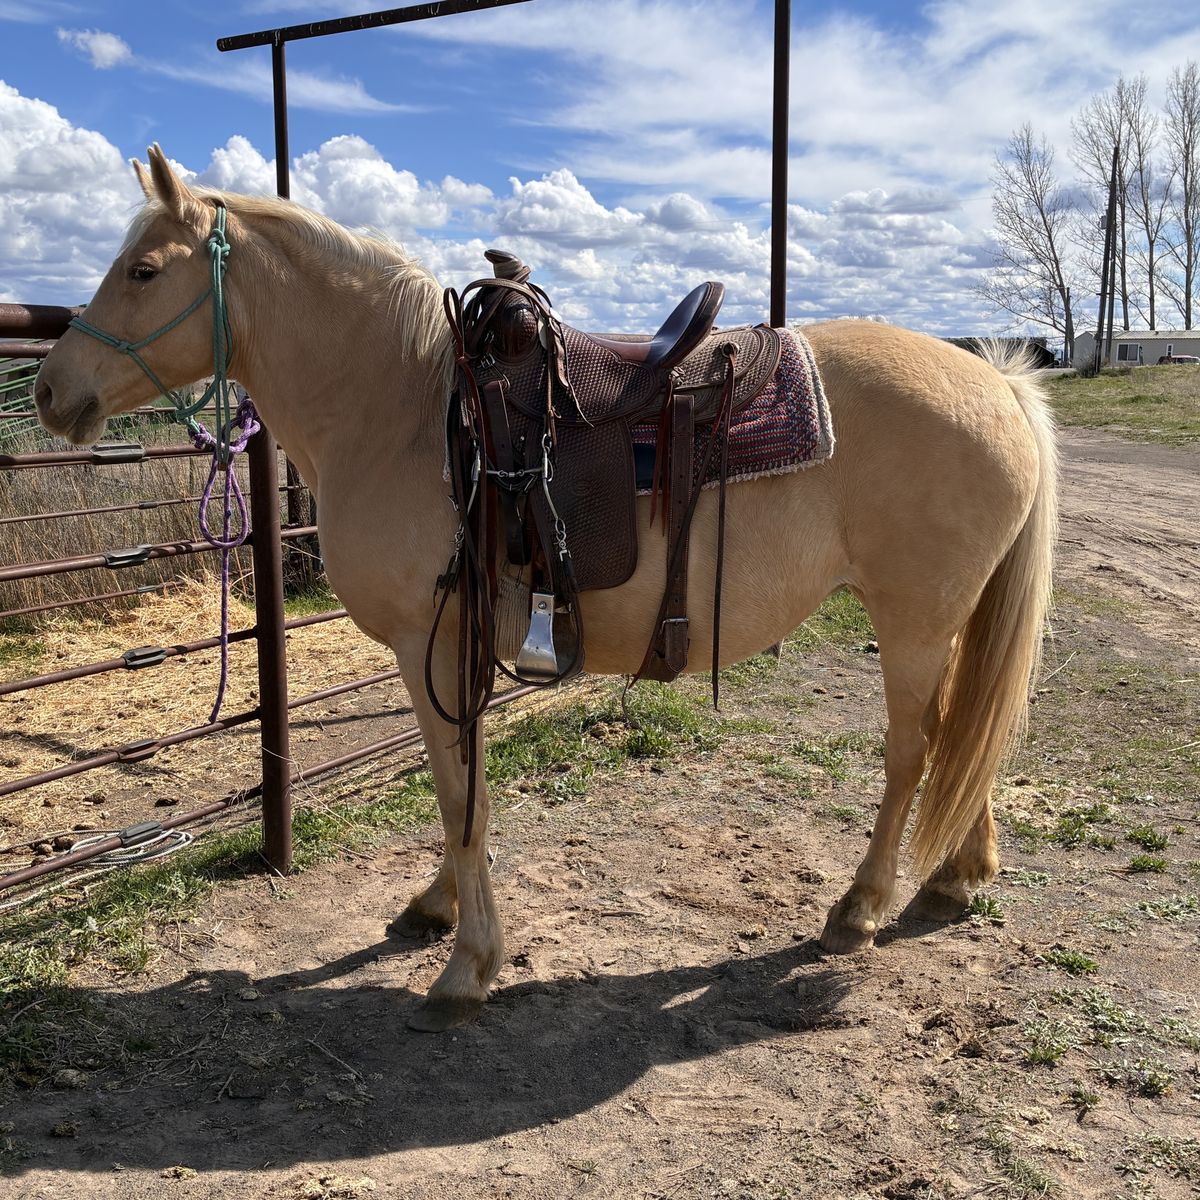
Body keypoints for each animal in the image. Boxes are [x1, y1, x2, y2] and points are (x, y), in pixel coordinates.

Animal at [34, 147, 1057, 1032]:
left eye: (143, 270)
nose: (47, 392)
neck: (399, 409)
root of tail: (997, 383)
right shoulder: (461, 647)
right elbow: (463, 790)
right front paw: (440, 907)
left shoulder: (430, 645)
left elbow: (459, 795)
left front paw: (467, 965)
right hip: (945, 622)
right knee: (965, 731)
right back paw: (960, 872)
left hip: (913, 620)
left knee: (913, 750)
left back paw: (863, 905)